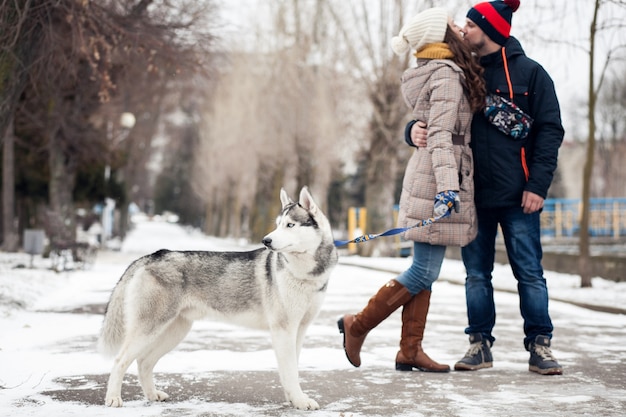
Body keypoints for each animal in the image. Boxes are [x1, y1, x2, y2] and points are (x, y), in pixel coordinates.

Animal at [98, 188, 336, 410]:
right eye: (278, 224)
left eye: (290, 225)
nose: (266, 240)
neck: (305, 274)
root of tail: (153, 255)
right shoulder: (283, 330)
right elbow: (291, 371)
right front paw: (300, 401)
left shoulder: (299, 330)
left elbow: (292, 369)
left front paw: (293, 399)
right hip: (150, 329)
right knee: (120, 361)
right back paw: (113, 398)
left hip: (174, 331)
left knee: (144, 362)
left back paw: (152, 395)